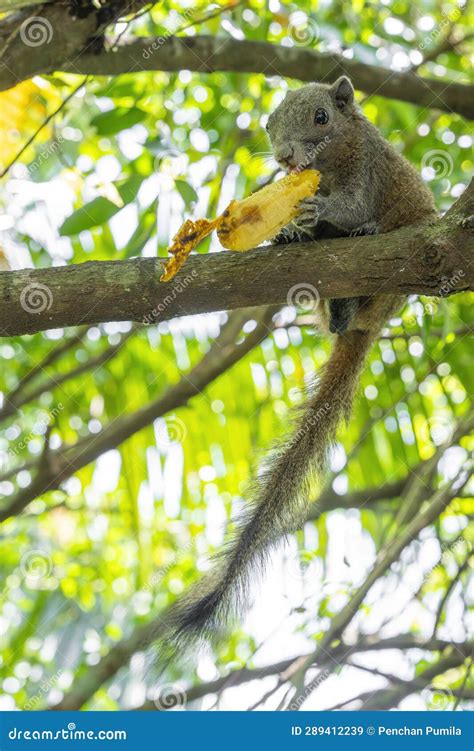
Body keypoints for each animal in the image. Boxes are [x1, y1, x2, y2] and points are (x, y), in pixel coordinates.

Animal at [155, 76, 438, 660]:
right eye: (270, 127)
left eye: (322, 117)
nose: (285, 157)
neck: (328, 162)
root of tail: (370, 325)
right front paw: (289, 229)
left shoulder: (368, 168)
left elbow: (349, 204)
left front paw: (317, 210)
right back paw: (335, 302)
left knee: (364, 233)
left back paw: (358, 244)